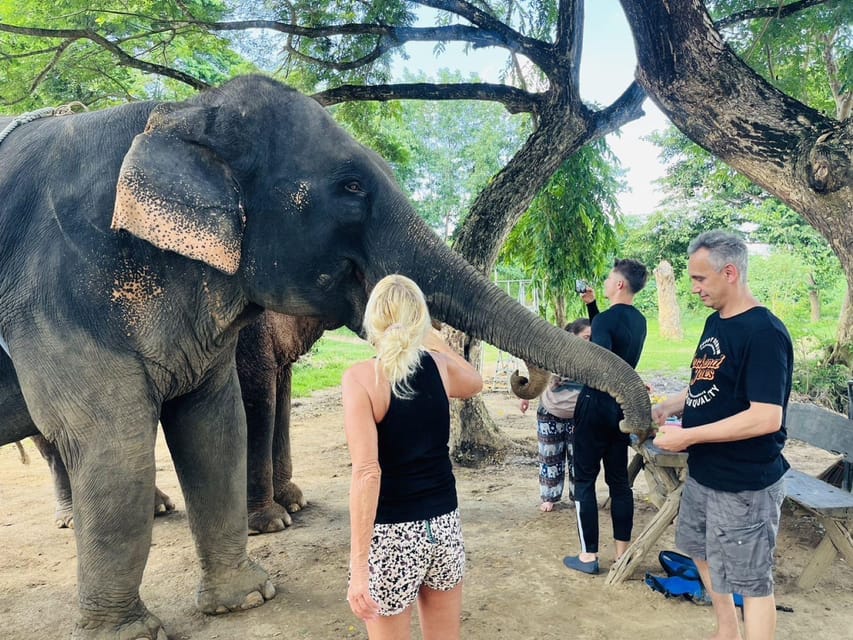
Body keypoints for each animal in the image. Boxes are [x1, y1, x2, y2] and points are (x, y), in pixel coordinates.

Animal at [25, 312, 326, 532]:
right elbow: (251, 387)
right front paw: (272, 524)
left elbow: (281, 384)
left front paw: (294, 503)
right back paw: (74, 520)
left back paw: (154, 509)